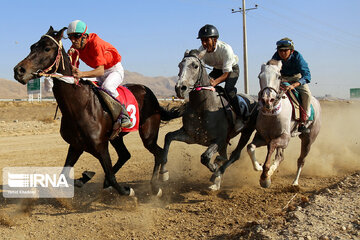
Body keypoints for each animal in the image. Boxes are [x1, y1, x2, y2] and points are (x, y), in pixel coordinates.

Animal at [12, 26, 181, 196]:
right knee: (125, 155)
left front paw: (128, 191)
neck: (79, 106)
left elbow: (112, 177)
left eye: (47, 48)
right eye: (32, 47)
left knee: (159, 153)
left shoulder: (101, 146)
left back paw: (157, 185)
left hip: (148, 133)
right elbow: (64, 176)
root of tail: (150, 94)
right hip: (116, 137)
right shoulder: (76, 145)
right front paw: (83, 177)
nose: (19, 70)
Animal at [161, 49, 258, 190]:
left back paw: (217, 174)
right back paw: (217, 178)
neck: (203, 107)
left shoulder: (219, 140)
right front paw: (163, 172)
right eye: (180, 65)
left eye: (195, 66)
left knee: (235, 155)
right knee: (226, 155)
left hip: (247, 132)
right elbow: (168, 136)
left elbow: (205, 157)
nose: (180, 88)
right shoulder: (190, 136)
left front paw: (215, 167)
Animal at [248, 59, 320, 188]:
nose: (267, 100)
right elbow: (250, 147)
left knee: (301, 160)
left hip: (309, 139)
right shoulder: (263, 137)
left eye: (279, 76)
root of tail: (317, 103)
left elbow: (271, 148)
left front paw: (265, 177)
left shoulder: (285, 138)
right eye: (259, 76)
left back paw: (295, 182)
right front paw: (259, 168)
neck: (272, 114)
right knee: (280, 157)